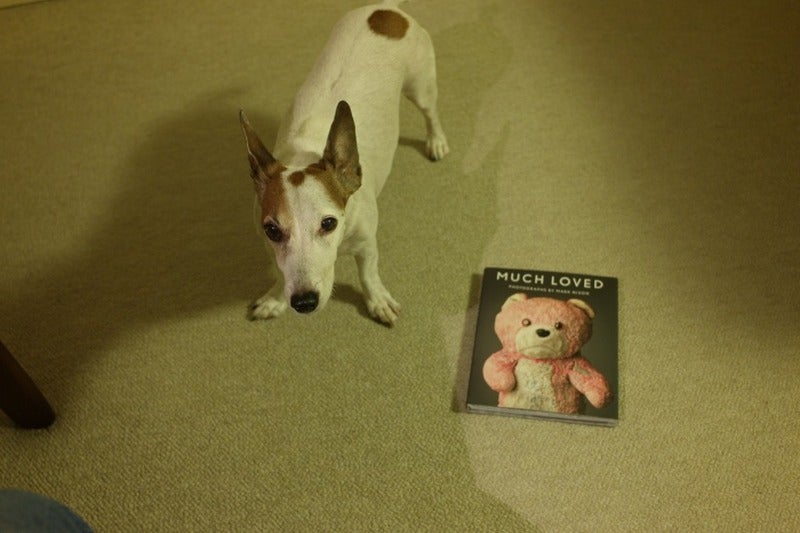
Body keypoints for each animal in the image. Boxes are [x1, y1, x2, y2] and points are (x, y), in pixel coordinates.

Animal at [239, 1, 448, 325]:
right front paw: (275, 298)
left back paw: (436, 140)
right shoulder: (266, 242)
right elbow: (279, 271)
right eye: (273, 230)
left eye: (328, 223)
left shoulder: (366, 244)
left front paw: (377, 300)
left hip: (421, 86)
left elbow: (368, 274)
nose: (303, 302)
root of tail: (386, 10)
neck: (306, 153)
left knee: (431, 113)